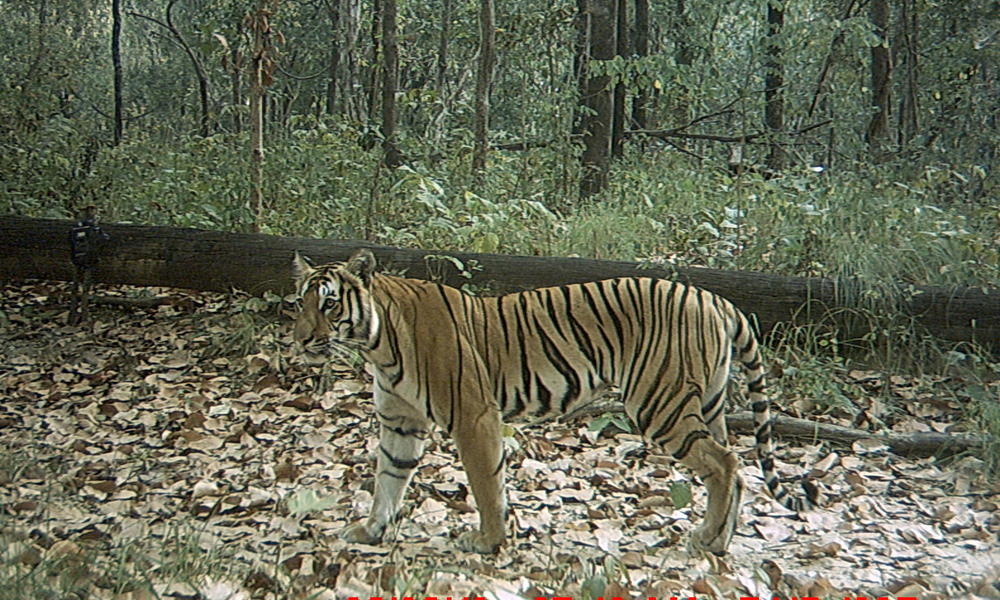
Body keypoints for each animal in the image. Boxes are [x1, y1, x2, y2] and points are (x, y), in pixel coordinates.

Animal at [292, 250, 820, 556]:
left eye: (330, 303)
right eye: (301, 302)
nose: (301, 340)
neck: (376, 342)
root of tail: (717, 299)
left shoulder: (474, 416)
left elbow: (486, 485)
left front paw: (488, 541)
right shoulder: (400, 422)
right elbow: (388, 479)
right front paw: (371, 532)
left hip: (660, 405)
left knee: (726, 464)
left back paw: (710, 541)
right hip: (706, 405)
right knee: (733, 469)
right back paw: (715, 542)